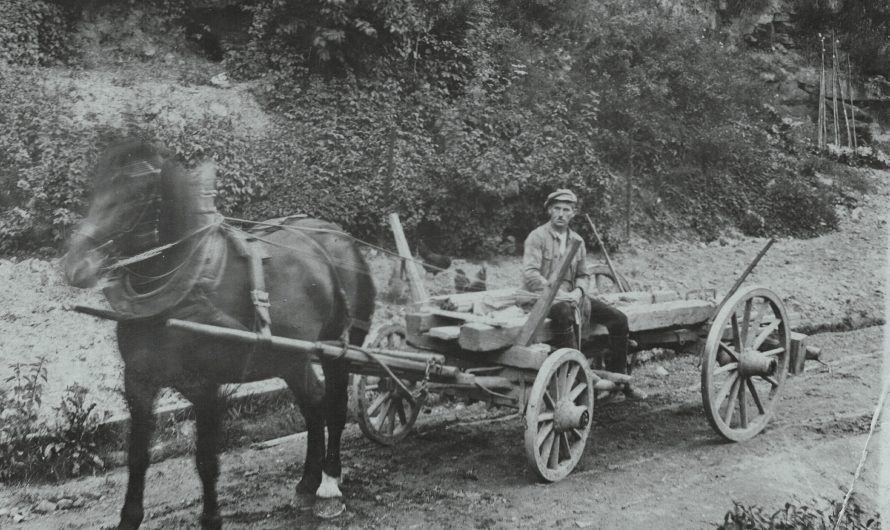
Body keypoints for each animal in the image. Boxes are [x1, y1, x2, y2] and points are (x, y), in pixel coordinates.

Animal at [58, 138, 372, 524]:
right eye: (98, 186)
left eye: (137, 194)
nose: (77, 265)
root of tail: (338, 235)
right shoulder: (138, 382)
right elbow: (137, 457)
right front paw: (129, 517)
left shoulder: (205, 386)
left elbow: (206, 459)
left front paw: (211, 518)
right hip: (290, 357)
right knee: (313, 404)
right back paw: (307, 483)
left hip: (339, 348)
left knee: (335, 407)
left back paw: (329, 484)